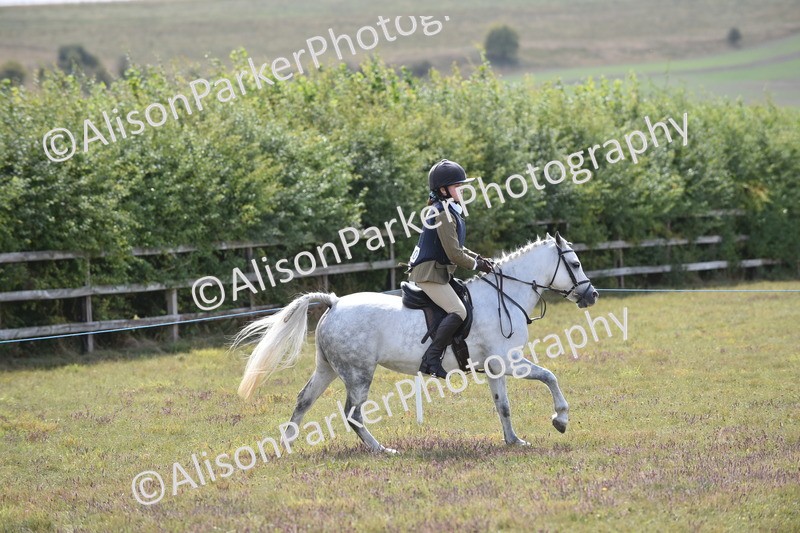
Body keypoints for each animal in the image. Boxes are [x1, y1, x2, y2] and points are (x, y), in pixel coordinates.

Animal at [233, 232, 598, 453]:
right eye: (576, 263)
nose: (591, 295)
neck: (505, 295)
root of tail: (334, 303)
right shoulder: (509, 362)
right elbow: (550, 377)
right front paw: (560, 420)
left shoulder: (495, 367)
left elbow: (503, 405)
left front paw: (514, 440)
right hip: (359, 373)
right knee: (353, 413)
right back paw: (380, 449)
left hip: (329, 368)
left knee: (304, 401)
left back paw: (287, 445)